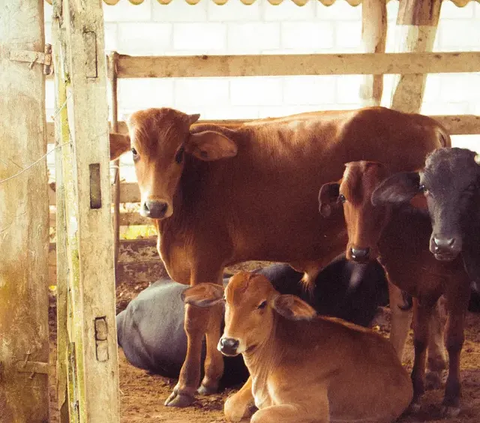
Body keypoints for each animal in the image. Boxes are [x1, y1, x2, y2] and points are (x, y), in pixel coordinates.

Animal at [184, 274, 412, 422]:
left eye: (262, 304)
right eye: (225, 299)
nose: (229, 343)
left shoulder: (315, 408)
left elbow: (259, 416)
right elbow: (230, 406)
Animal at [318, 162, 468, 418]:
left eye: (381, 199)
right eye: (342, 197)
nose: (359, 252)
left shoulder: (458, 285)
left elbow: (454, 340)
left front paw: (451, 398)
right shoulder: (422, 288)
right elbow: (420, 337)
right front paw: (416, 393)